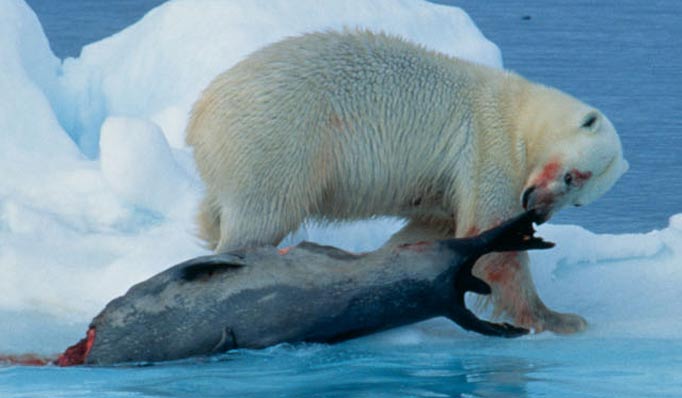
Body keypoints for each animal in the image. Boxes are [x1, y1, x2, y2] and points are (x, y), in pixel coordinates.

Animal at [186, 30, 628, 332]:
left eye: (579, 200)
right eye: (571, 176)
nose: (537, 211)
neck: (521, 111)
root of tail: (201, 111)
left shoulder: (446, 186)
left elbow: (429, 231)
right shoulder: (490, 145)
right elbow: (492, 239)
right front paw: (559, 319)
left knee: (217, 208)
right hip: (278, 138)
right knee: (262, 214)